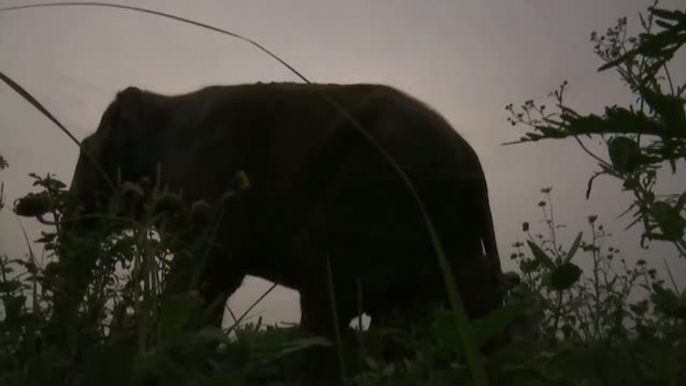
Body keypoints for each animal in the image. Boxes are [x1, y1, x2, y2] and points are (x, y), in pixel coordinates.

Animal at [61, 82, 506, 352]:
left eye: (84, 153)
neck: (165, 101)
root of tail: (475, 164)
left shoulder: (213, 182)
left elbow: (205, 272)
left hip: (373, 197)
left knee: (329, 293)